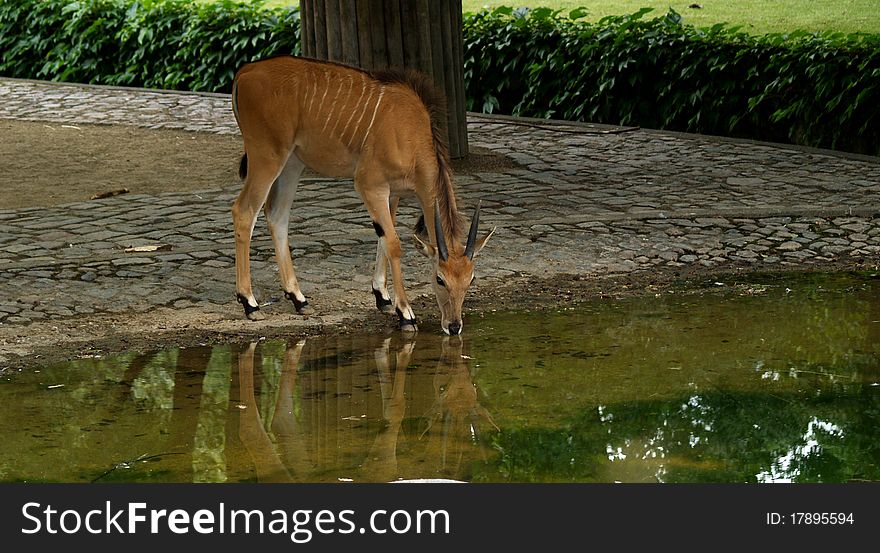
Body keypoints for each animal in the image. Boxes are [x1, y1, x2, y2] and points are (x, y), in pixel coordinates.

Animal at [230, 56, 496, 334]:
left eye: (471, 279)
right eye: (440, 278)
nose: (454, 326)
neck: (410, 130)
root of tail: (246, 72)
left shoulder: (392, 193)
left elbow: (383, 237)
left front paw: (382, 297)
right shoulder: (371, 185)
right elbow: (394, 244)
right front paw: (405, 313)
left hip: (293, 163)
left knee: (277, 216)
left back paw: (298, 298)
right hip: (267, 157)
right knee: (245, 211)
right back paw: (250, 303)